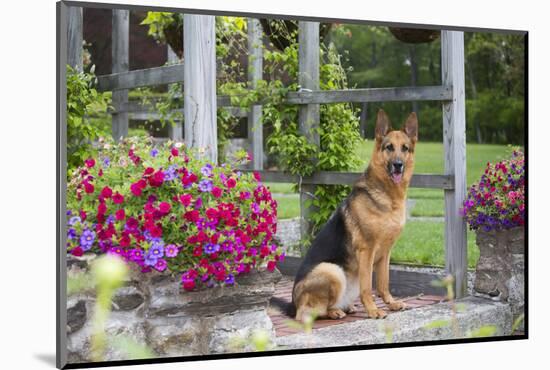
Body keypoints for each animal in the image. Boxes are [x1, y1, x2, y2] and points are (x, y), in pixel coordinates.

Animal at [278, 108, 420, 320]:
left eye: (405, 148)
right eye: (389, 147)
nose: (398, 165)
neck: (387, 195)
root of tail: (293, 304)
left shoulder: (386, 252)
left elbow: (383, 283)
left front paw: (391, 303)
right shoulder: (367, 251)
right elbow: (368, 287)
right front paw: (373, 310)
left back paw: (347, 307)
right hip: (332, 270)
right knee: (308, 314)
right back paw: (334, 311)